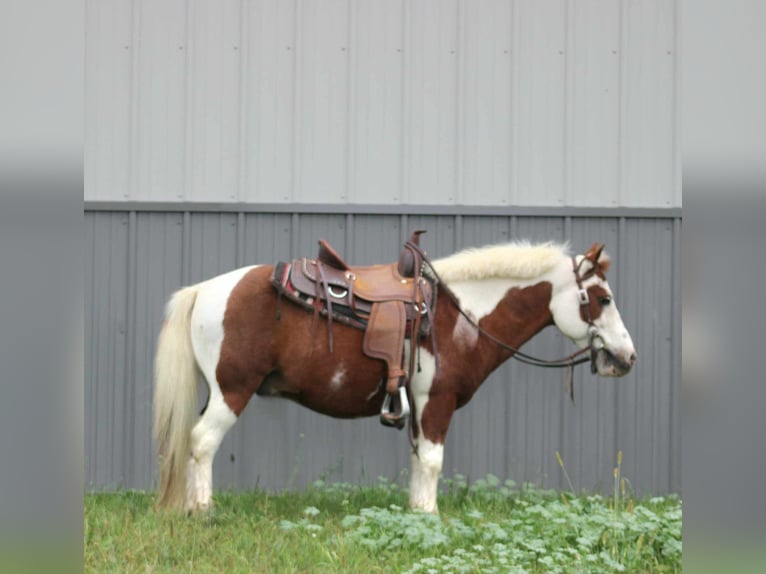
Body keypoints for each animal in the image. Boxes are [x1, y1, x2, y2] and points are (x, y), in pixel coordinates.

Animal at [154, 241, 636, 516]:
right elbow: (433, 461)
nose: (627, 357)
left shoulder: (420, 406)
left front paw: (417, 512)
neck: (459, 314)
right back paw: (203, 510)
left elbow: (419, 460)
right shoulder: (438, 400)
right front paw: (430, 516)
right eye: (603, 298)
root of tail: (203, 290)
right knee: (202, 442)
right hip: (232, 390)